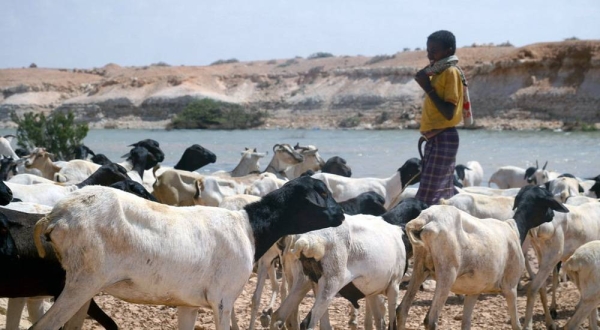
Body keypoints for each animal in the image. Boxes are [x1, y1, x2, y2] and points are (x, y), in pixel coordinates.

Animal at [30, 178, 344, 330]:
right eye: (322, 193)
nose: (341, 214)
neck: (249, 227)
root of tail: (54, 217)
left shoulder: (189, 303)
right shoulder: (222, 299)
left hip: (84, 286)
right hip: (83, 280)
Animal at [396, 186, 568, 330]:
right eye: (547, 202)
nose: (552, 215)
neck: (515, 228)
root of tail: (425, 219)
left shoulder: (474, 291)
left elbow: (466, 323)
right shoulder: (510, 285)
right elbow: (516, 324)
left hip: (420, 267)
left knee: (401, 310)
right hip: (447, 272)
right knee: (430, 320)